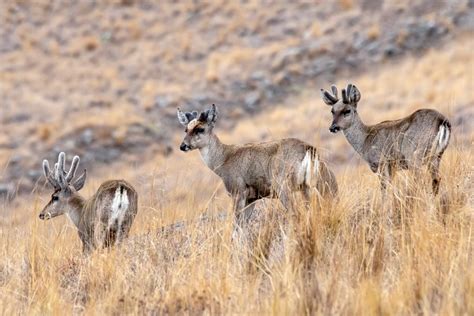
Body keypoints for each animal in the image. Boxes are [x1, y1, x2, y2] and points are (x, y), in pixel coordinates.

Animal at [177, 103, 336, 225]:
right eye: (186, 129)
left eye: (200, 129)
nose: (183, 146)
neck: (223, 159)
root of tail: (308, 149)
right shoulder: (251, 198)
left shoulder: (238, 191)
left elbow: (237, 227)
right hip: (316, 184)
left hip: (283, 186)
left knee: (296, 213)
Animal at [320, 82, 450, 194]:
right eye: (332, 111)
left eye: (347, 111)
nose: (333, 127)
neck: (365, 141)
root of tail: (442, 121)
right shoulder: (391, 167)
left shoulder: (381, 162)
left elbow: (384, 190)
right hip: (436, 156)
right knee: (436, 179)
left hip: (414, 155)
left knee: (421, 181)